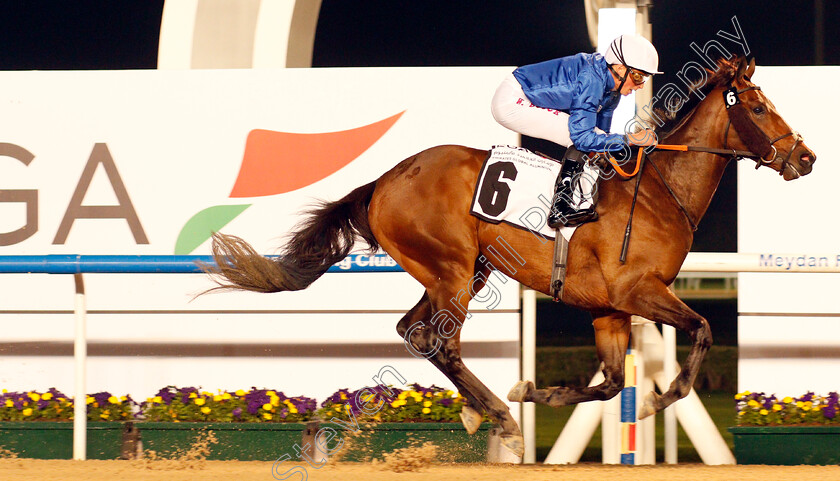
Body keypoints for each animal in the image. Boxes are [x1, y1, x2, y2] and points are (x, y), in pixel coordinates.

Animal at [203, 56, 812, 454]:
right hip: (450, 268)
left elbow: (612, 382)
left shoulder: (610, 309)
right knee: (439, 340)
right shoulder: (638, 291)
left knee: (412, 330)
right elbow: (703, 331)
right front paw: (653, 404)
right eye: (759, 106)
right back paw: (499, 418)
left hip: (461, 271)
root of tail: (385, 180)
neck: (659, 191)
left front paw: (536, 390)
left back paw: (485, 408)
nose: (804, 158)